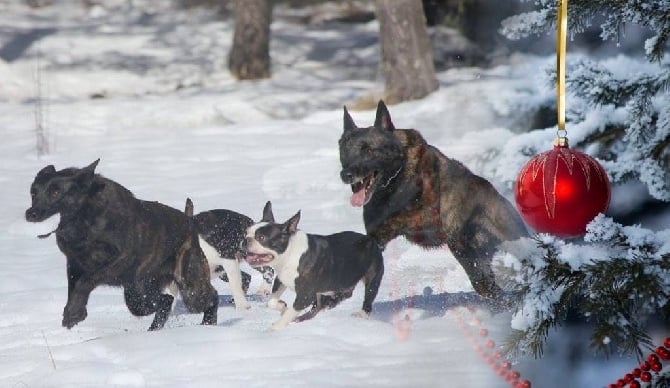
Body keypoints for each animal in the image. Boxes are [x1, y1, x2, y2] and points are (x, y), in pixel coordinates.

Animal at [244, 202, 386, 328]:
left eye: (261, 238)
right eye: (246, 233)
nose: (245, 240)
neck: (289, 254)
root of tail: (371, 240)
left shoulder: (305, 295)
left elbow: (291, 311)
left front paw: (275, 328)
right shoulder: (281, 280)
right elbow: (271, 302)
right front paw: (282, 306)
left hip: (373, 276)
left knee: (368, 298)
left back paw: (361, 314)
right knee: (325, 302)